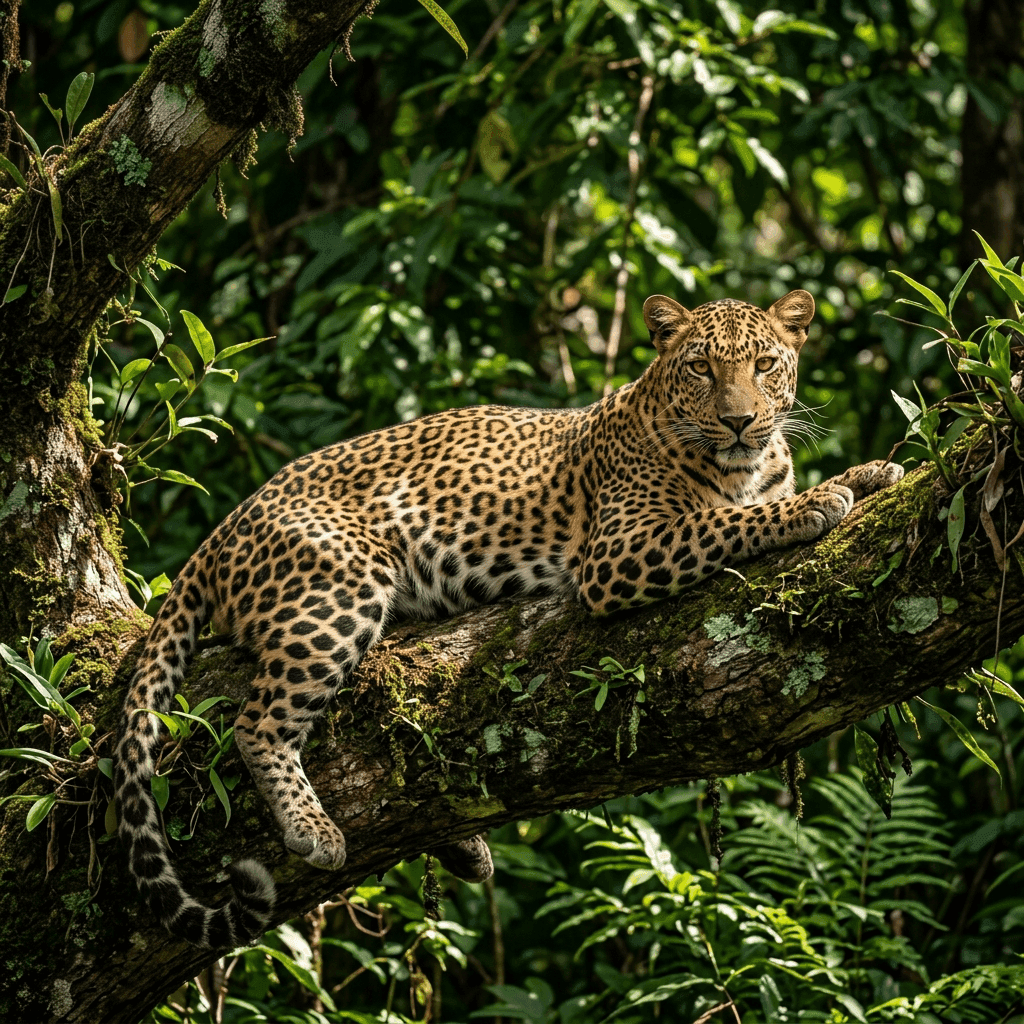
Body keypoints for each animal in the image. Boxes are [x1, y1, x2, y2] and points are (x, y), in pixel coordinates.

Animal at [114, 288, 904, 947]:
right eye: (702, 369)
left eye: (765, 365)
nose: (739, 421)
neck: (745, 465)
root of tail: (225, 524)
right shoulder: (620, 551)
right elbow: (727, 523)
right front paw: (817, 502)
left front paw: (870, 473)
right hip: (339, 587)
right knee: (259, 723)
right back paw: (316, 830)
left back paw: (464, 848)